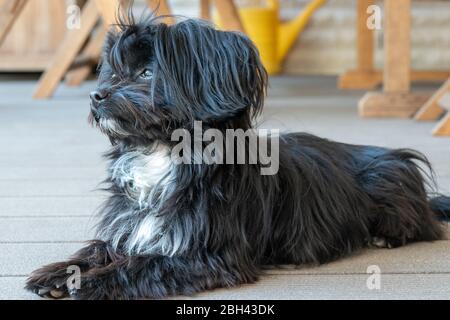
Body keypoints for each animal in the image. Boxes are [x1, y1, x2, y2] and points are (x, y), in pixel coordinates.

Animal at [26, 15, 448, 300]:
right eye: (112, 73)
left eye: (146, 73)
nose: (95, 95)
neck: (164, 152)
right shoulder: (134, 226)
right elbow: (99, 247)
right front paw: (61, 273)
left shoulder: (208, 254)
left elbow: (144, 263)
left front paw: (93, 282)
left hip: (390, 179)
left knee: (421, 225)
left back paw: (385, 237)